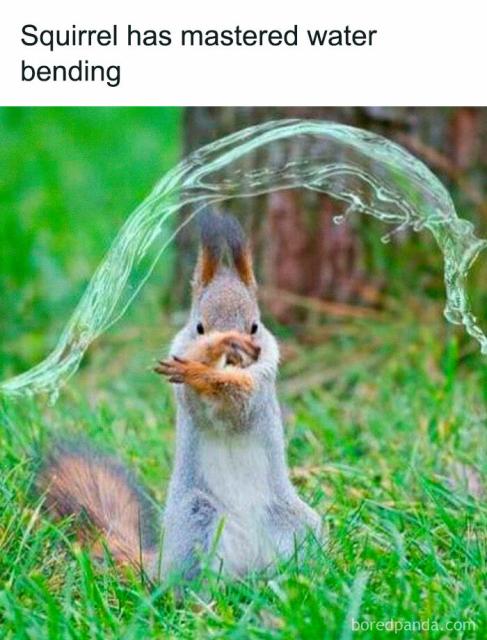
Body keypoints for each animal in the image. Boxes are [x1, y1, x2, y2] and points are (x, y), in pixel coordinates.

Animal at [37, 211, 321, 582]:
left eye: (255, 326)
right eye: (199, 327)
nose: (234, 355)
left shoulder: (262, 384)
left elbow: (240, 404)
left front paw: (212, 374)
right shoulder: (185, 388)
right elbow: (198, 400)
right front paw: (207, 358)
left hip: (296, 526)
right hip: (196, 517)